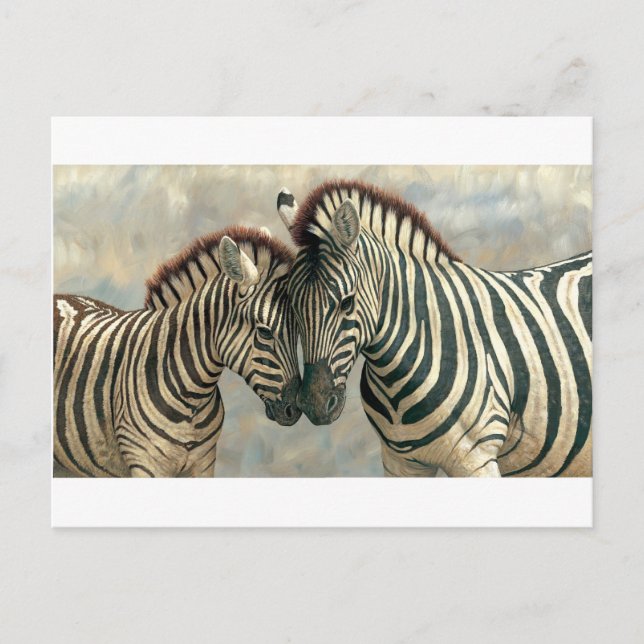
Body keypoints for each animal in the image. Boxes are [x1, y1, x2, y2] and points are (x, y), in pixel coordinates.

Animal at [54, 226, 301, 478]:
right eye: (265, 332)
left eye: (299, 332)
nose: (294, 410)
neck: (193, 398)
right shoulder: (146, 464)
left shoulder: (204, 464)